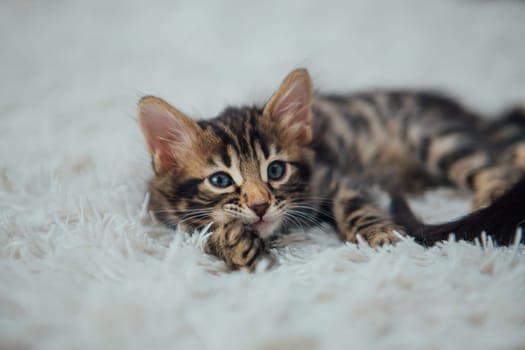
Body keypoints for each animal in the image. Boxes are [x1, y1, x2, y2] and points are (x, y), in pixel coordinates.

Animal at [136, 69, 524, 270]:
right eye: (220, 180)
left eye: (275, 171)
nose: (260, 206)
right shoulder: (172, 218)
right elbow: (201, 233)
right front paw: (231, 243)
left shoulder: (334, 175)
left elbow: (356, 208)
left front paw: (380, 235)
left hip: (432, 136)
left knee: (494, 165)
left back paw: (493, 190)